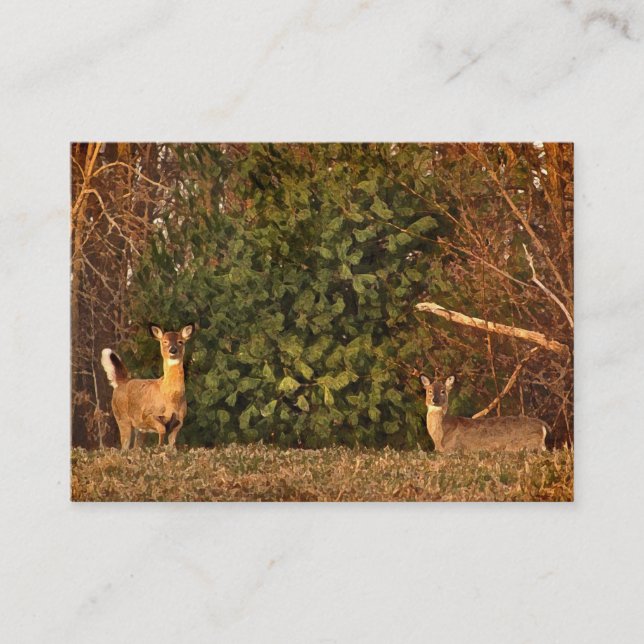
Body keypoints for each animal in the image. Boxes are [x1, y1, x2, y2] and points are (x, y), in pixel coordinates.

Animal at [419, 374, 552, 452]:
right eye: (429, 390)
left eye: (443, 391)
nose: (434, 400)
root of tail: (543, 425)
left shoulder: (453, 448)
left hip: (523, 444)